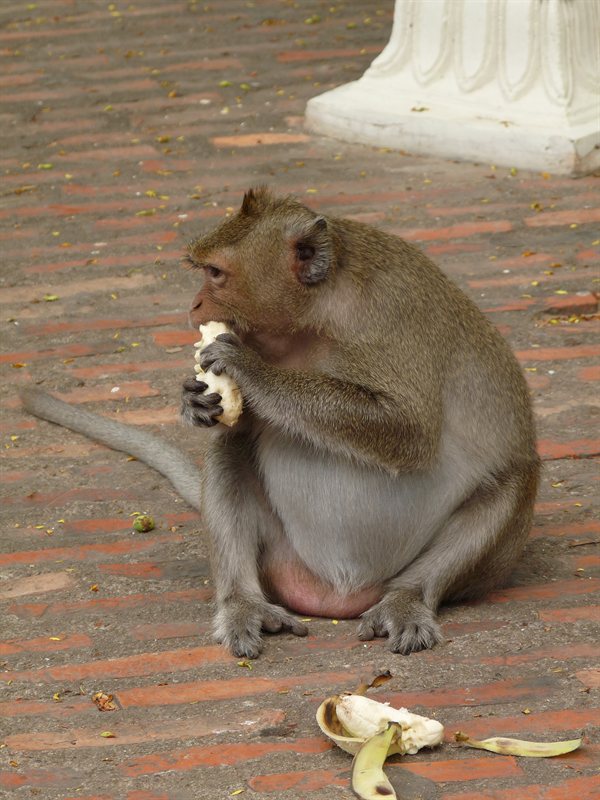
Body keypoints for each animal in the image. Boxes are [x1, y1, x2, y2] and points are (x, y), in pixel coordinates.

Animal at [21, 186, 540, 659]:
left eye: (215, 274)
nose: (193, 306)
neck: (319, 312)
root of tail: (340, 593)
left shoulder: (392, 314)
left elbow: (410, 431)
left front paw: (248, 371)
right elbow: (235, 429)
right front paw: (193, 400)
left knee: (512, 483)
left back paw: (409, 598)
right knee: (228, 454)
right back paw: (243, 603)